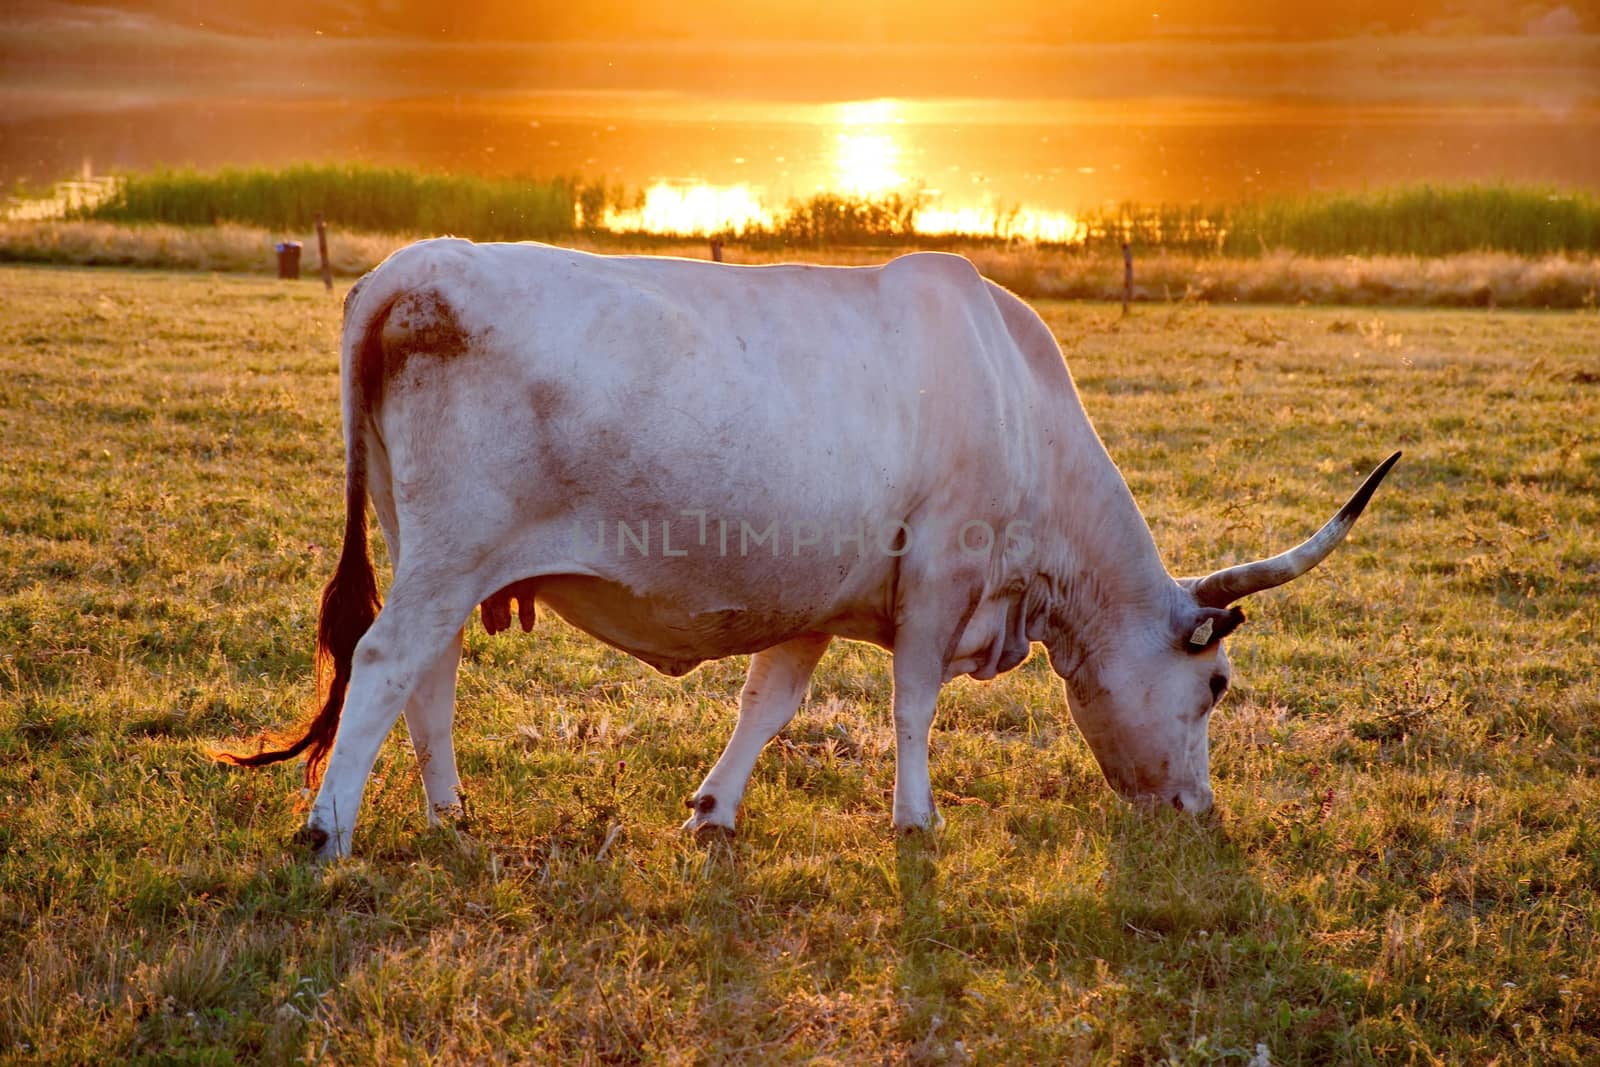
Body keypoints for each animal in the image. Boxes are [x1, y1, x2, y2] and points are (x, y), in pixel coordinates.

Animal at [219, 239, 1395, 857]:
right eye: (1217, 684)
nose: (1198, 811)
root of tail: (409, 267)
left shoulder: (821, 594)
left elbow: (768, 701)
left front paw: (713, 808)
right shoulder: (939, 575)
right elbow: (914, 704)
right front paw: (915, 819)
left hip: (437, 553)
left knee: (427, 676)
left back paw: (450, 811)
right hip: (448, 552)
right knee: (382, 663)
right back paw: (327, 829)